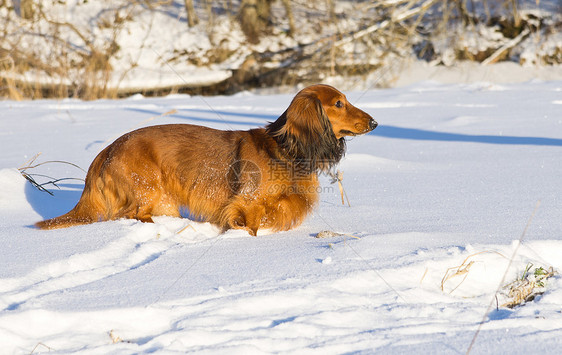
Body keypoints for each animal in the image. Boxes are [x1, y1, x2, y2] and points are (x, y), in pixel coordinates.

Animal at [36, 85, 376, 236]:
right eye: (338, 103)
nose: (374, 122)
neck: (284, 151)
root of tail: (105, 151)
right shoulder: (246, 205)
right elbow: (250, 226)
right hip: (148, 191)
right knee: (132, 214)